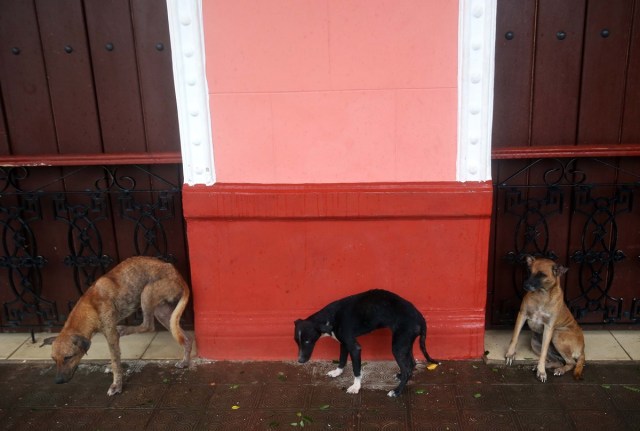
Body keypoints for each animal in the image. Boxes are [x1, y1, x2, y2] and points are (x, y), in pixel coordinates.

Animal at [41, 258, 192, 396]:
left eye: (68, 357)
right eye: (53, 359)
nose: (58, 381)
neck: (89, 306)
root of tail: (177, 274)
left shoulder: (111, 335)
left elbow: (115, 361)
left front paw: (116, 385)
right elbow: (116, 359)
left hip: (147, 292)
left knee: (148, 326)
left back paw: (124, 329)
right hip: (163, 312)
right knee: (185, 337)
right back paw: (185, 361)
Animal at [296, 290, 440, 398]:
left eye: (307, 341)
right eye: (297, 342)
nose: (300, 361)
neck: (330, 318)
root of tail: (421, 318)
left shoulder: (354, 348)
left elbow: (356, 370)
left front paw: (355, 387)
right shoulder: (344, 343)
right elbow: (342, 360)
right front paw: (337, 372)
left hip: (398, 346)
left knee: (407, 370)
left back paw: (397, 391)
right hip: (405, 344)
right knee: (411, 364)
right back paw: (400, 377)